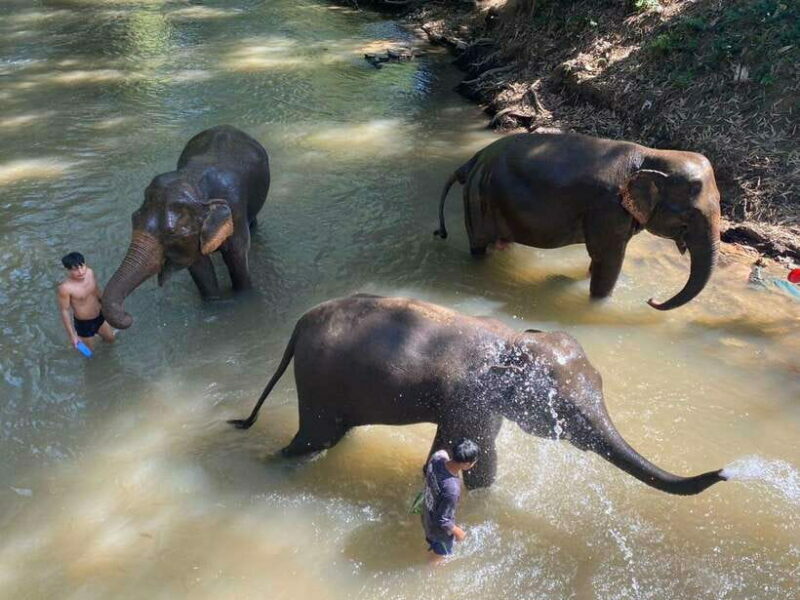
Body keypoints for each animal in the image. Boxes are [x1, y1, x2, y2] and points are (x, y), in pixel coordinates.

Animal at [102, 125, 270, 329]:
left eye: (171, 233)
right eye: (134, 218)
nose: (128, 316)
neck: (194, 184)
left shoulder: (235, 208)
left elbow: (236, 255)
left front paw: (243, 298)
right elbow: (199, 266)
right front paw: (214, 304)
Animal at [229, 293, 726, 495]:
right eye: (566, 413)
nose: (723, 472)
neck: (510, 339)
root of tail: (299, 325)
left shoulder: (484, 404)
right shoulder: (469, 397)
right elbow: (471, 458)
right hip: (318, 383)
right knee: (311, 439)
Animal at [434, 132, 722, 310]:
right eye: (690, 215)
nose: (651, 299)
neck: (651, 155)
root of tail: (472, 160)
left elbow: (600, 259)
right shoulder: (607, 209)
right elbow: (608, 259)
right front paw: (598, 305)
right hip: (478, 199)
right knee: (479, 246)